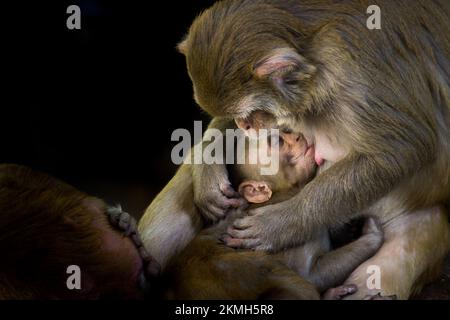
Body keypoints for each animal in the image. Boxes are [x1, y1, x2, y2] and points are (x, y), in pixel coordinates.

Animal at [140, 113, 384, 300]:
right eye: (278, 142)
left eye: (286, 132)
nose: (298, 135)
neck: (281, 195)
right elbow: (310, 274)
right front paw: (371, 235)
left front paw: (350, 229)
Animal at [175, 0, 450, 300]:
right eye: (238, 117)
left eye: (248, 114)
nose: (244, 126)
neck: (315, 53)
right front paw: (208, 169)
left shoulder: (358, 72)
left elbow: (402, 148)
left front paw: (280, 225)